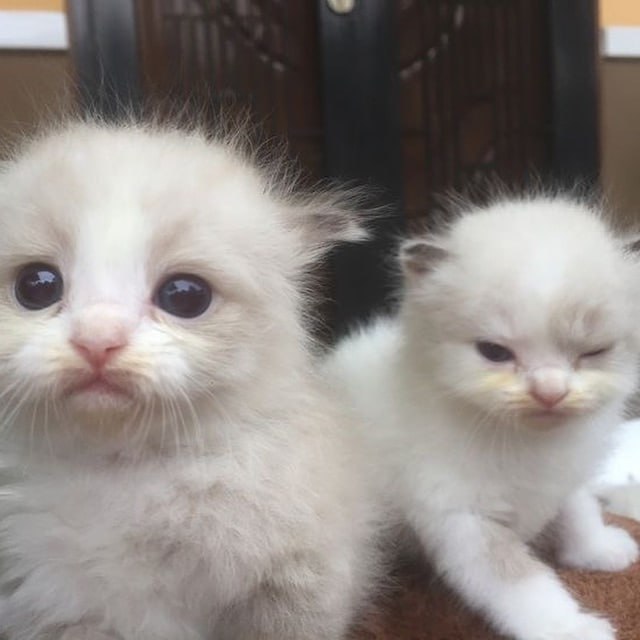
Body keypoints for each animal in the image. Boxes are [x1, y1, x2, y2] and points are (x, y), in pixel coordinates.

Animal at [0, 120, 381, 640]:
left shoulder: (293, 586)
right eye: (36, 287)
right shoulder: (57, 613)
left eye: (184, 296)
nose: (98, 341)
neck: (122, 475)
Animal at [325, 196, 640, 640]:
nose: (550, 392)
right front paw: (569, 626)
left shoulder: (564, 476)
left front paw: (597, 548)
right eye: (494, 352)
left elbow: (579, 509)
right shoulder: (465, 522)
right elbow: (526, 584)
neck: (531, 444)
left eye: (592, 352)